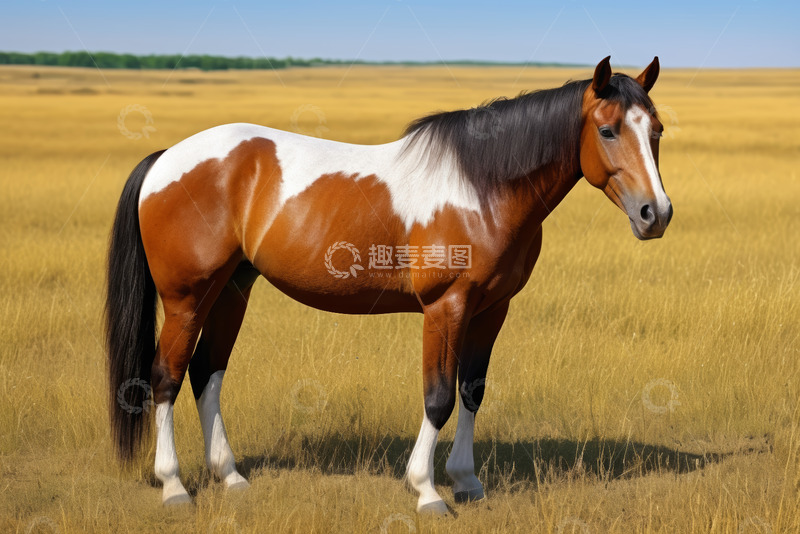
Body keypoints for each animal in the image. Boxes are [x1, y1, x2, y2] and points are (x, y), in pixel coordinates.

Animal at [105, 56, 671, 514]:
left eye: (657, 130)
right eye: (608, 130)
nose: (656, 214)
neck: (480, 188)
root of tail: (165, 159)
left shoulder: (492, 309)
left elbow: (472, 390)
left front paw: (466, 481)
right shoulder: (446, 307)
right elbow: (438, 397)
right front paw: (426, 491)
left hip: (231, 289)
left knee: (207, 373)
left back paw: (230, 477)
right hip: (186, 299)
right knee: (165, 377)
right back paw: (174, 486)